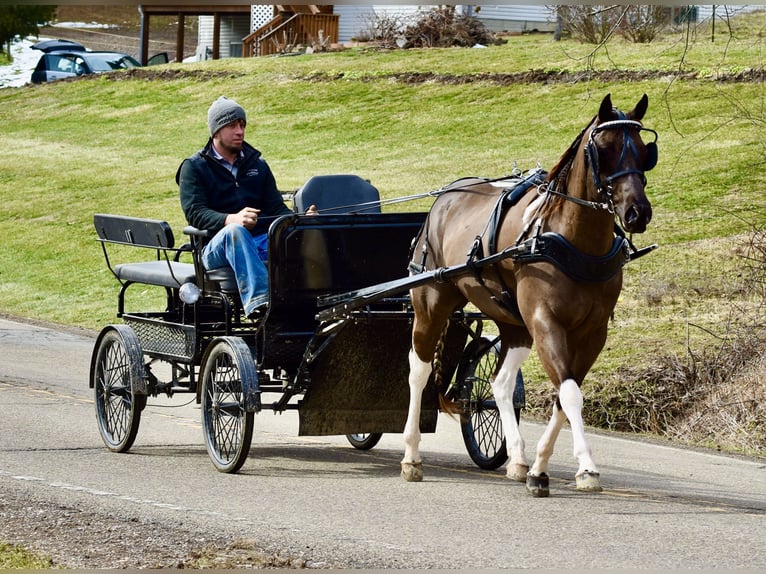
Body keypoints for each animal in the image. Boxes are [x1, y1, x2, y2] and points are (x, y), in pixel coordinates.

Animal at [401, 93, 658, 497]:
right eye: (605, 149)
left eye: (645, 151)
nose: (637, 212)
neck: (572, 240)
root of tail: (445, 197)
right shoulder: (545, 321)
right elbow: (570, 393)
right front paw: (586, 467)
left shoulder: (593, 332)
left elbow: (564, 395)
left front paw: (538, 468)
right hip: (432, 303)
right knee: (419, 370)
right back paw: (412, 456)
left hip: (512, 321)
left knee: (501, 384)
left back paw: (518, 459)